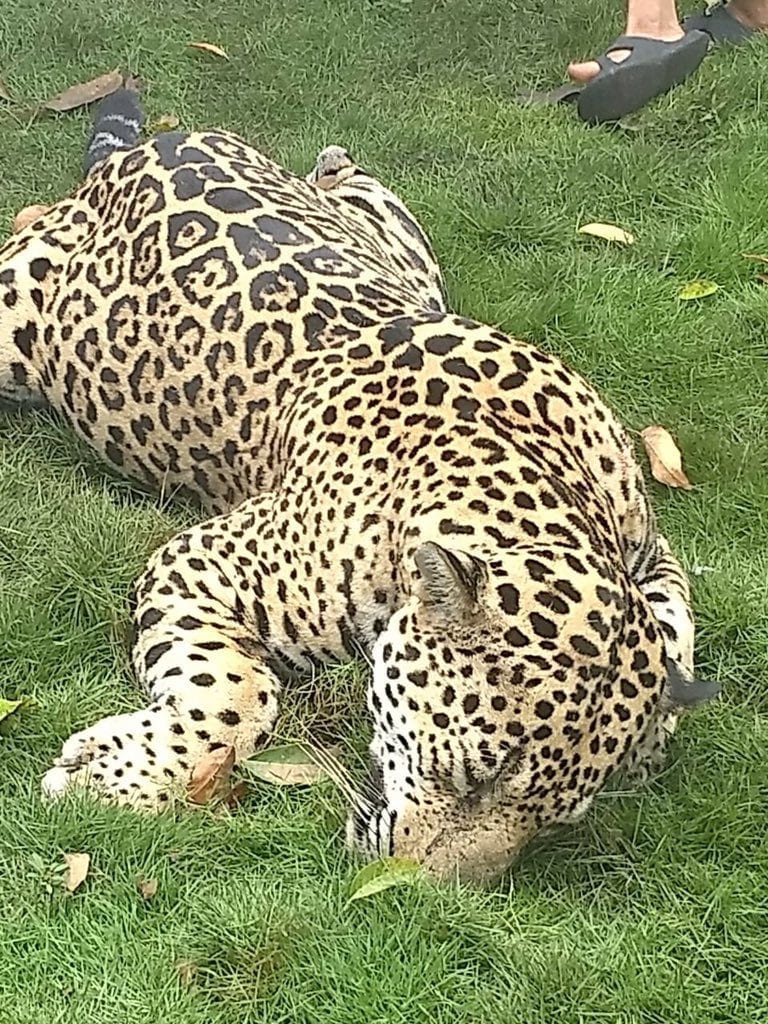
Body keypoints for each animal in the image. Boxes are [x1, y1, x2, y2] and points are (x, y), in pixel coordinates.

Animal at [0, 86, 719, 884]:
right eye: (476, 773)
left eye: (552, 823)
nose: (428, 894)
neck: (531, 480)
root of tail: (151, 146)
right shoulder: (202, 563)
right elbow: (234, 694)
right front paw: (109, 776)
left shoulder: (651, 552)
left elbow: (678, 627)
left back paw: (333, 163)